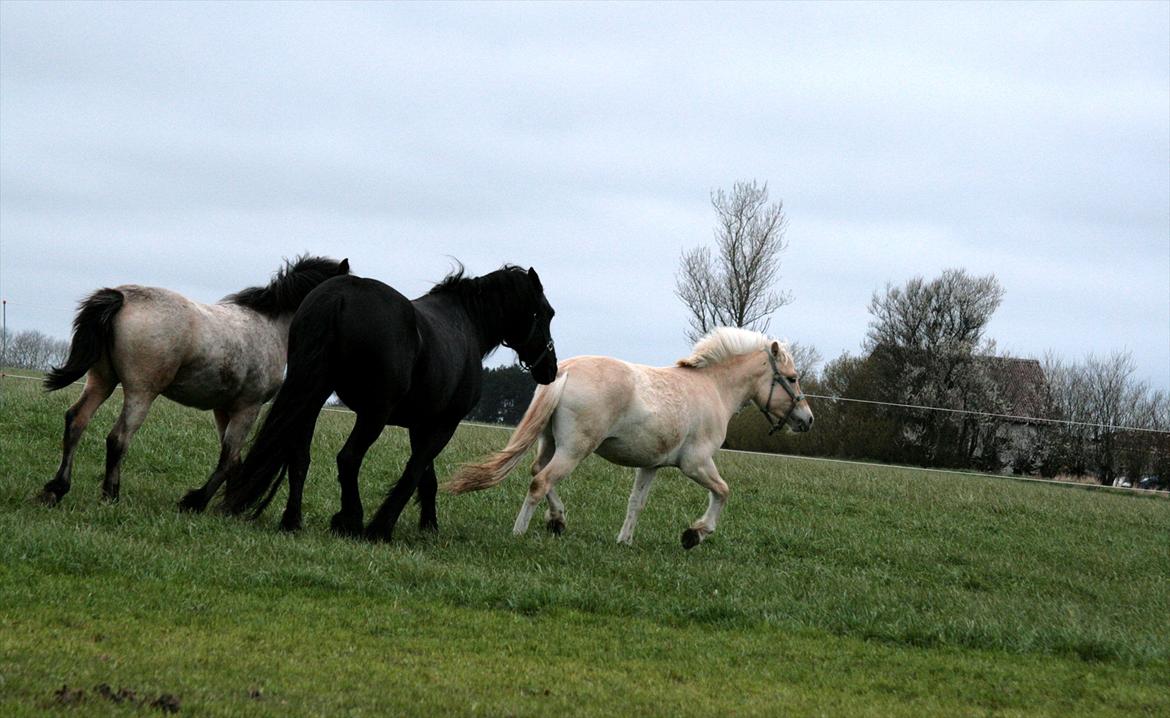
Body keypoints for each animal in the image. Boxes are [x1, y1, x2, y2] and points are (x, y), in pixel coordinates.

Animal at [42, 256, 351, 509]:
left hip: (102, 381)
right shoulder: (248, 408)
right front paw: (197, 502)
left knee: (77, 421)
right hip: (141, 392)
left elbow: (233, 460)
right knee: (118, 438)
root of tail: (122, 298)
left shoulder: (224, 408)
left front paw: (226, 503)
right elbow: (228, 459)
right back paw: (110, 495)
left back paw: (56, 489)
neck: (269, 326)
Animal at [224, 263, 561, 540]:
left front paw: (429, 525)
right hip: (373, 413)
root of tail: (340, 297)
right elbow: (414, 471)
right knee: (348, 458)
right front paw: (382, 527)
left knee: (299, 455)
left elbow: (427, 477)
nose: (550, 368)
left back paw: (292, 521)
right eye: (546, 313)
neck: (467, 325)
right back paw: (351, 520)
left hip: (313, 396)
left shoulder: (421, 424)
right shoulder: (444, 424)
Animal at [444, 329, 814, 551]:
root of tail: (565, 371)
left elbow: (636, 503)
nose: (807, 419)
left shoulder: (650, 466)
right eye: (793, 378)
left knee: (537, 472)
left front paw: (625, 540)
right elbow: (723, 491)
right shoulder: (696, 463)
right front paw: (694, 534)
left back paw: (557, 520)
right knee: (541, 481)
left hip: (549, 443)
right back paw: (520, 533)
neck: (713, 388)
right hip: (575, 449)